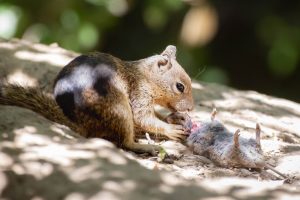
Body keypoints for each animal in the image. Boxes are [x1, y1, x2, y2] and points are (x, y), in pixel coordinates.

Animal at [0, 45, 193, 153]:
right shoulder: (139, 93)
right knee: (125, 142)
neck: (144, 76)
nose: (191, 108)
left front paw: (176, 118)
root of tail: (81, 124)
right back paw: (145, 147)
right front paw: (171, 129)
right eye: (180, 87)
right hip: (119, 108)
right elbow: (143, 118)